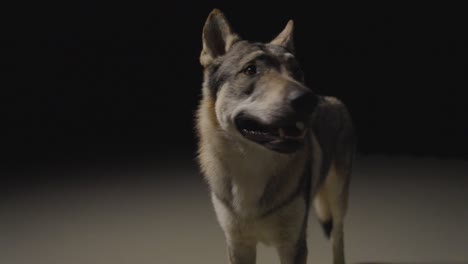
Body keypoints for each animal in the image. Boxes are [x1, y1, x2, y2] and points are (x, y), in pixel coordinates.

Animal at [195, 8, 354, 264]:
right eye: (251, 70)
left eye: (297, 72)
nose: (308, 100)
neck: (252, 167)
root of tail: (330, 98)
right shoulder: (238, 245)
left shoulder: (293, 245)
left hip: (338, 198)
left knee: (338, 237)